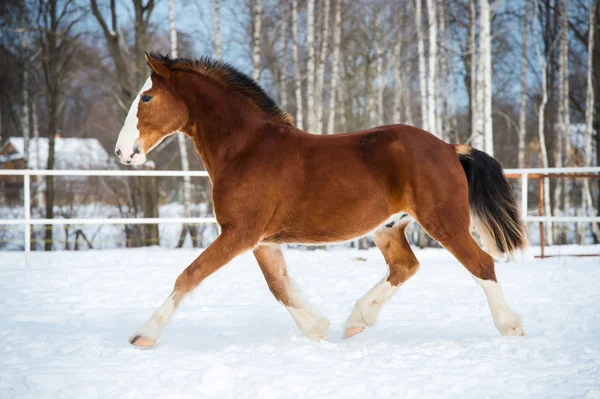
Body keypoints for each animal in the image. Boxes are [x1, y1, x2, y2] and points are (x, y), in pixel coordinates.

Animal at [115, 54, 528, 348]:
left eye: (147, 97)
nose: (122, 152)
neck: (246, 149)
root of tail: (449, 148)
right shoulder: (260, 241)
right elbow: (278, 286)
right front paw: (317, 329)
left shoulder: (240, 233)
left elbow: (191, 274)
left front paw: (144, 334)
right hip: (389, 227)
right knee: (405, 267)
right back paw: (356, 322)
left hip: (445, 223)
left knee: (482, 264)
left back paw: (512, 327)